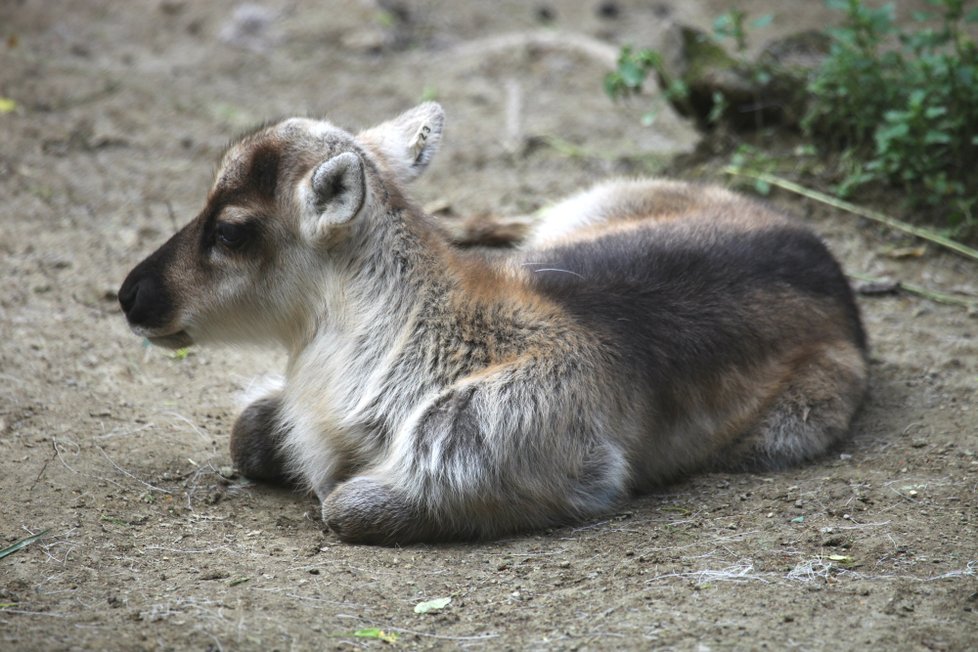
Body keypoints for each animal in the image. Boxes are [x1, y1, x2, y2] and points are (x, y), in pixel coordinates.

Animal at [118, 103, 864, 544]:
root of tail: (826, 259)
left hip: (790, 425)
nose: (131, 295)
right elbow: (246, 433)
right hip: (584, 207)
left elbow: (343, 505)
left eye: (232, 230)